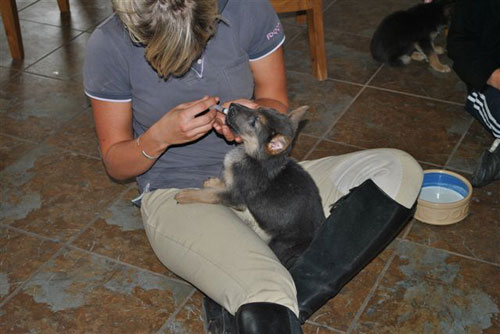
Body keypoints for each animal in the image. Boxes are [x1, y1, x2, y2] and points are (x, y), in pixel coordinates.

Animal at [175, 103, 324, 268]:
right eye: (258, 108)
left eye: (254, 122)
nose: (231, 105)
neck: (254, 157)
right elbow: (226, 181)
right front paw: (214, 182)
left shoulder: (236, 199)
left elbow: (211, 195)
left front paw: (187, 194)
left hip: (280, 245)